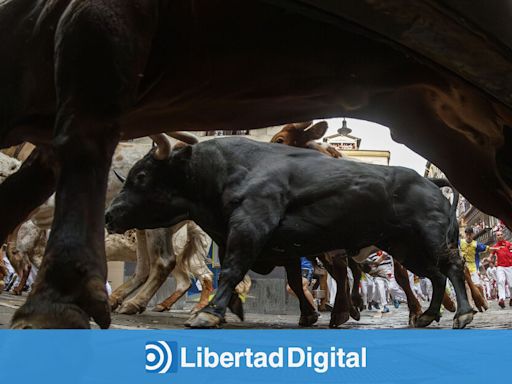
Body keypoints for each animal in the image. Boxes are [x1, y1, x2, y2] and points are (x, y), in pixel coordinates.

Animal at [105, 138, 476, 330]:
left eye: (141, 176)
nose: (109, 215)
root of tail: (429, 181)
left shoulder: (251, 226)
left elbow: (232, 270)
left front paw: (209, 313)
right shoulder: (270, 245)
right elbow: (288, 281)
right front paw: (232, 307)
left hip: (429, 241)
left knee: (452, 268)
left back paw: (462, 314)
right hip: (406, 248)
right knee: (435, 276)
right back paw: (426, 315)